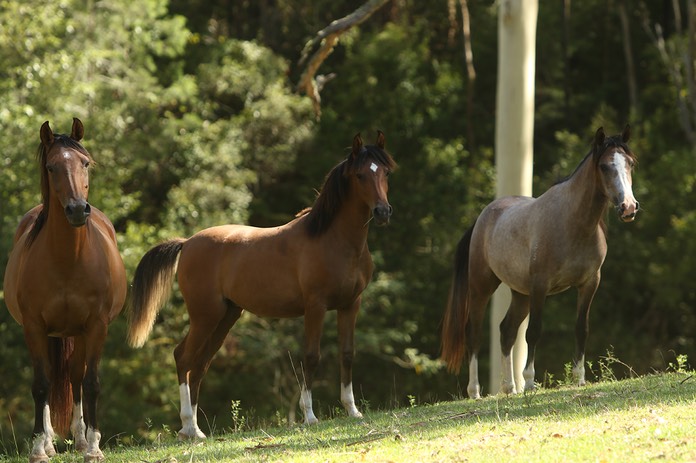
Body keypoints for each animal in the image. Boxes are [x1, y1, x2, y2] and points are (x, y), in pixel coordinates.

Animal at [3, 118, 128, 462]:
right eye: (51, 166)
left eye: (85, 163)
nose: (77, 210)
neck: (68, 260)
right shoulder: (34, 326)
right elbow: (41, 384)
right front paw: (38, 448)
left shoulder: (96, 325)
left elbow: (90, 382)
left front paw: (94, 447)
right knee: (50, 377)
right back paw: (48, 441)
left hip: (77, 333)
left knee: (74, 376)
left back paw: (82, 439)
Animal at [127, 131, 394, 438]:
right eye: (361, 175)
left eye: (385, 172)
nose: (383, 211)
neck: (333, 240)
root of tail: (187, 242)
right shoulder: (315, 307)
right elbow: (311, 356)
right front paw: (310, 416)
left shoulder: (350, 305)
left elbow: (347, 354)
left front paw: (352, 411)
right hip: (205, 316)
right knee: (183, 358)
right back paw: (189, 429)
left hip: (226, 316)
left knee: (200, 364)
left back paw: (195, 428)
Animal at [444, 126, 640, 398]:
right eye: (604, 166)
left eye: (630, 163)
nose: (628, 207)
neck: (573, 224)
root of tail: (484, 216)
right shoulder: (540, 285)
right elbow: (534, 331)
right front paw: (529, 381)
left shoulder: (589, 283)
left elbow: (581, 328)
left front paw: (579, 379)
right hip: (482, 287)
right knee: (473, 333)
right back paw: (475, 391)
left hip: (520, 294)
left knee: (507, 331)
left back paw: (509, 388)